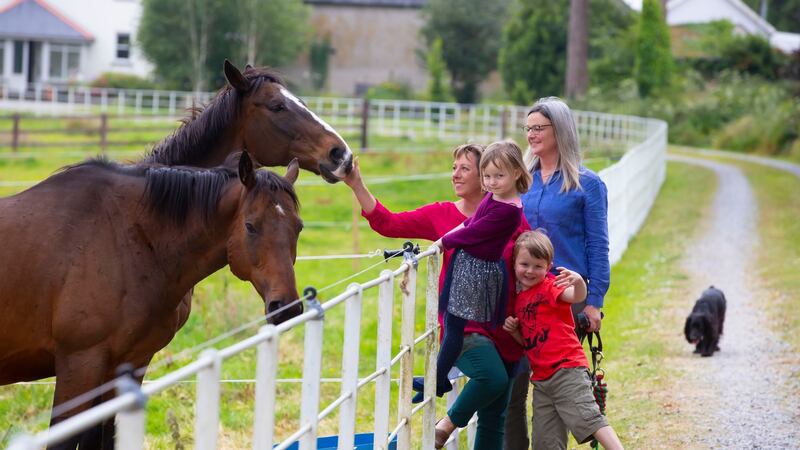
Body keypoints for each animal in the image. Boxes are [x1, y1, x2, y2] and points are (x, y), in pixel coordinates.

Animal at [0, 152, 303, 449]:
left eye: (298, 227)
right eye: (251, 226)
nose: (287, 308)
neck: (122, 236)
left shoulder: (128, 365)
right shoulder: (79, 364)